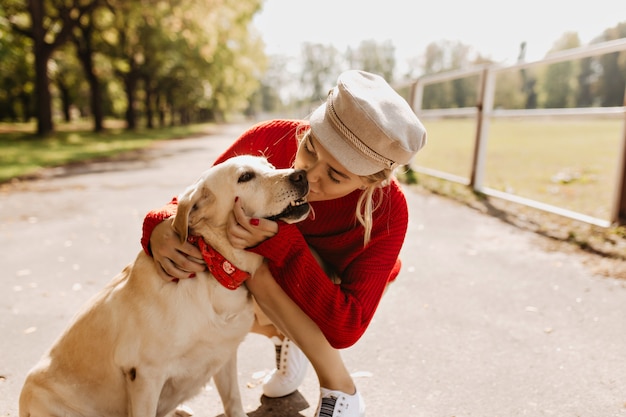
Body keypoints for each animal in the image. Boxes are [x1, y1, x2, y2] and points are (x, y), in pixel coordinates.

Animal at [18, 155, 310, 416]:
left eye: (270, 165)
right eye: (245, 177)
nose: (301, 174)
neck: (215, 270)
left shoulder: (225, 355)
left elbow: (233, 403)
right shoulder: (146, 375)